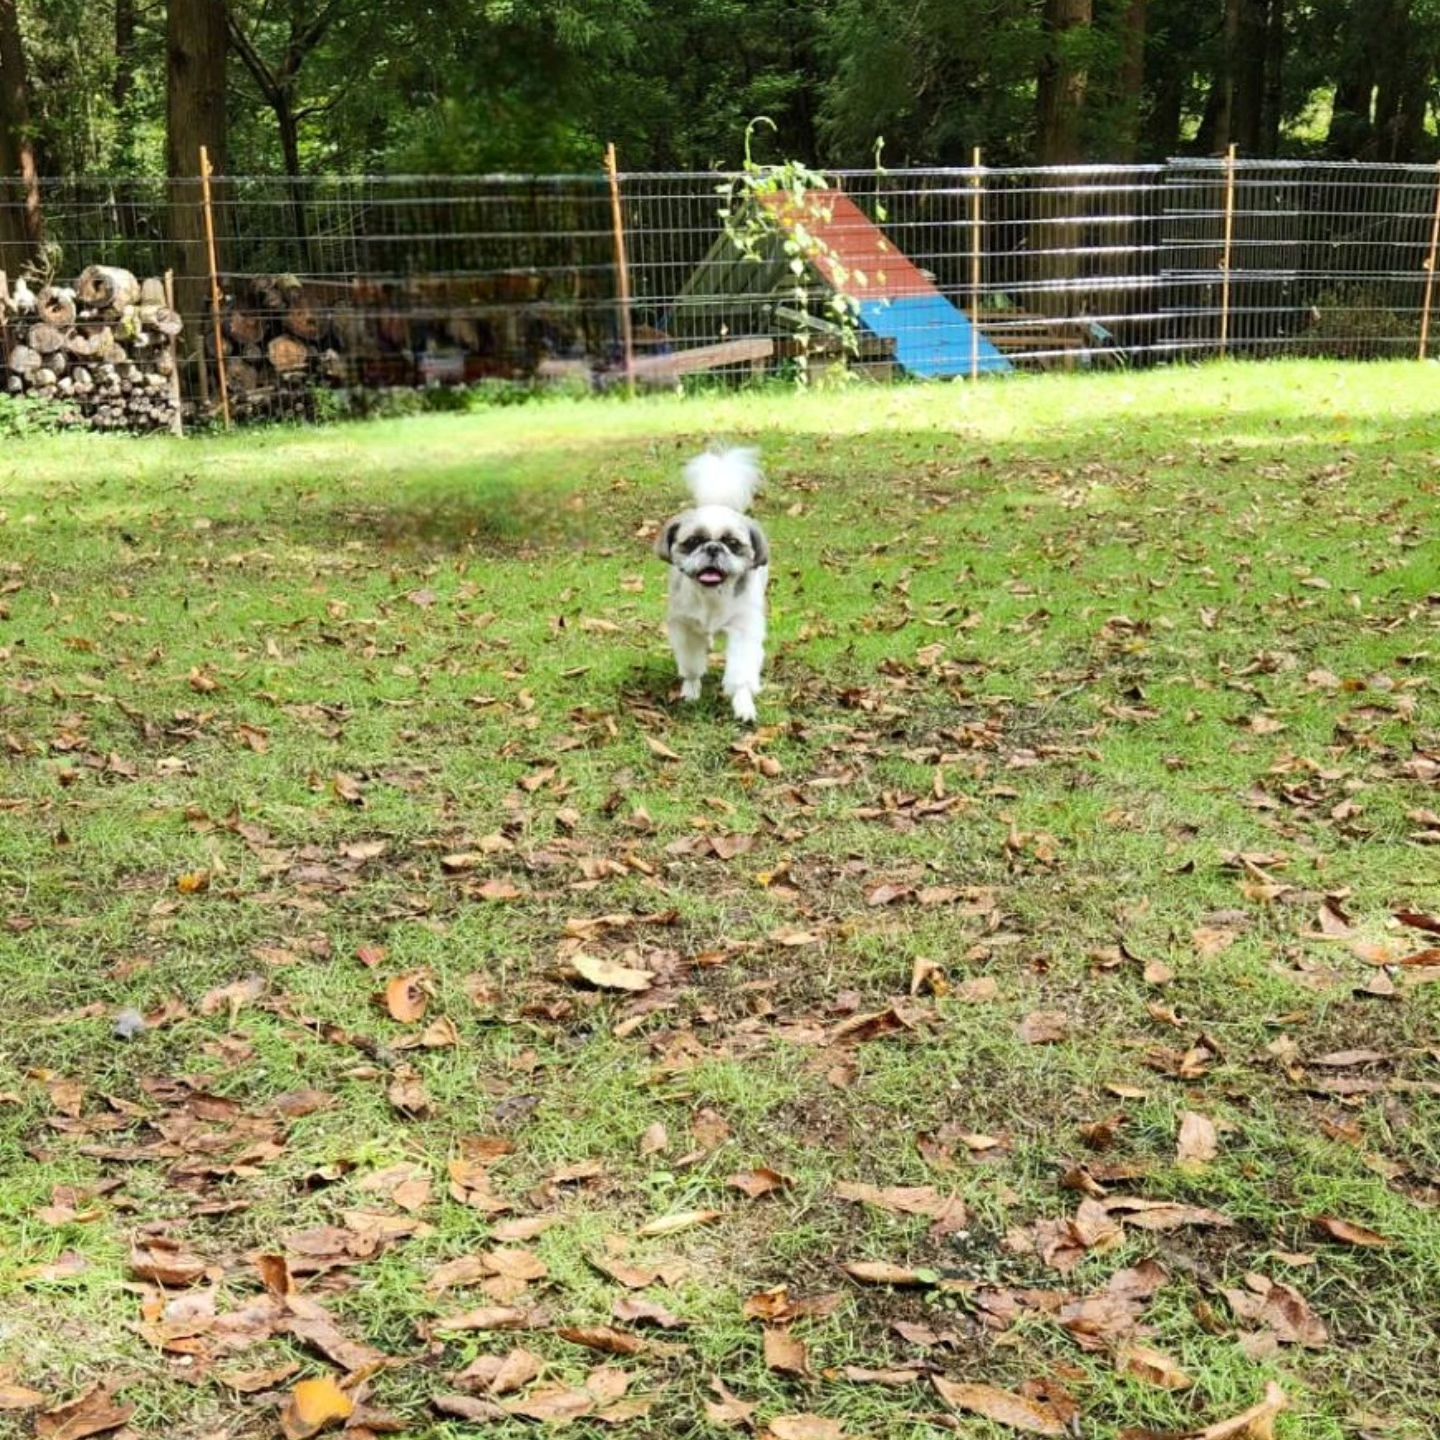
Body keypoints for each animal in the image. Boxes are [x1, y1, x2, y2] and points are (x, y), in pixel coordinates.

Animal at [656, 446, 771, 720]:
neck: (712, 596)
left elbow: (741, 673)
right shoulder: (685, 627)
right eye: (693, 541)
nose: (712, 548)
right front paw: (690, 691)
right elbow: (691, 665)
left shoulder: (743, 629)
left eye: (732, 543)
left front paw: (743, 704)